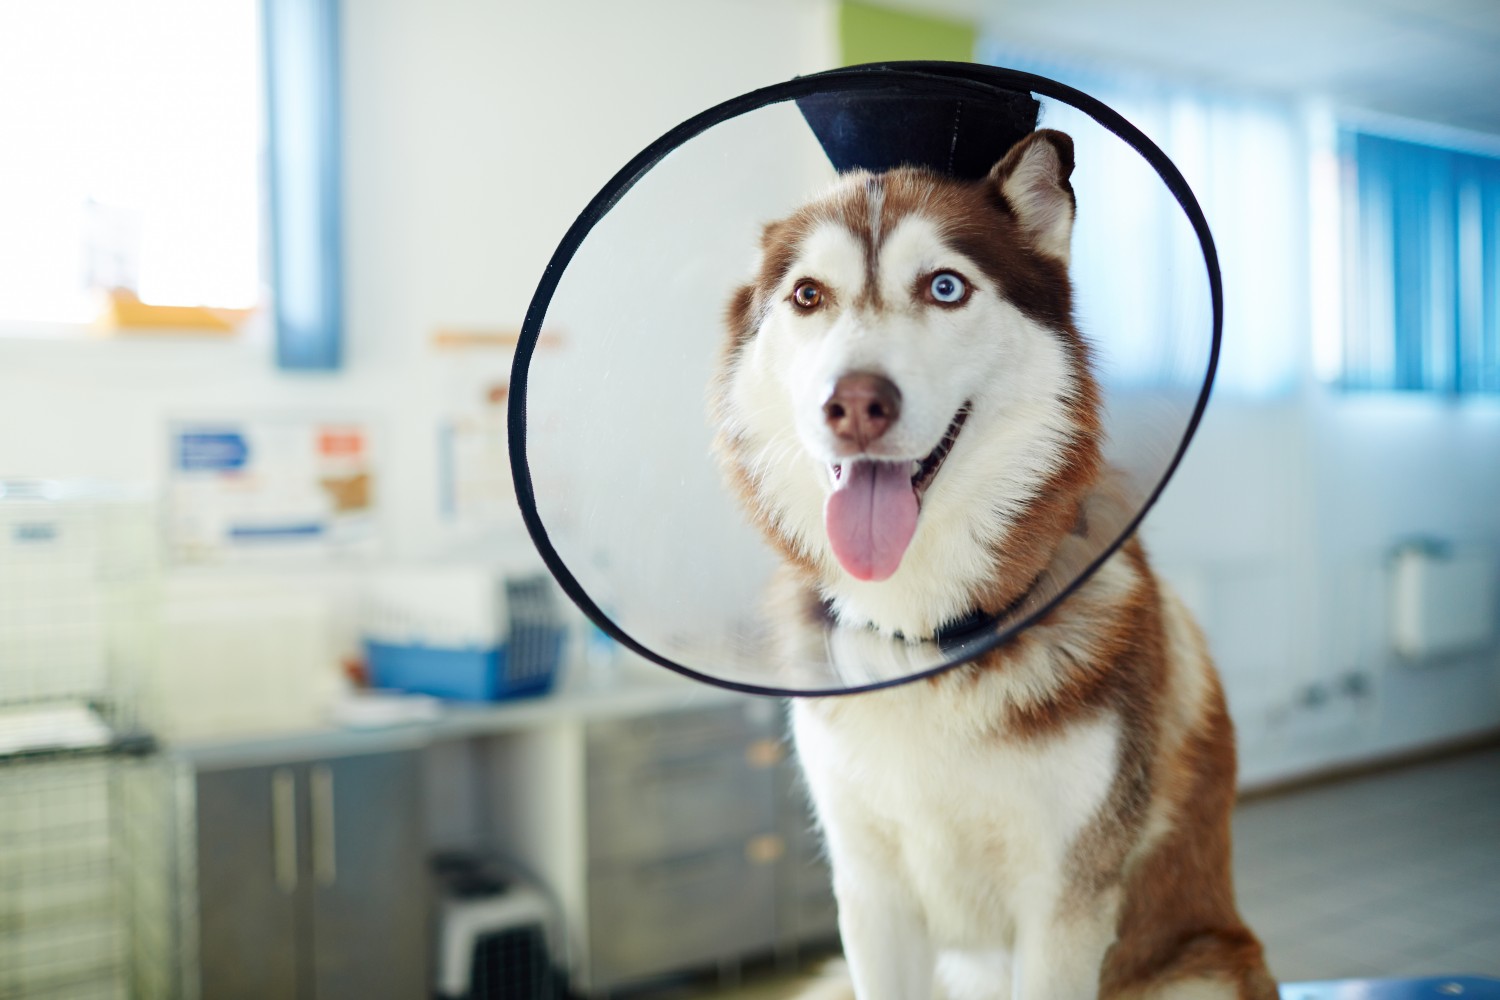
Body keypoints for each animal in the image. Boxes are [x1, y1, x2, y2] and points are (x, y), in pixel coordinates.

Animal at [708, 132, 1272, 1000]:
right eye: (807, 295)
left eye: (945, 287)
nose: (854, 403)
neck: (926, 639)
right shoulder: (868, 896)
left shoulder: (1065, 901)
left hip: (1201, 969)